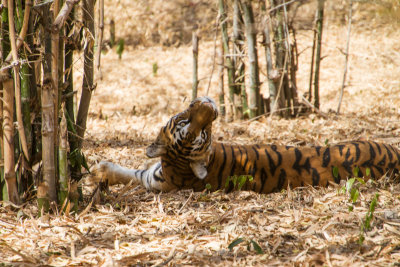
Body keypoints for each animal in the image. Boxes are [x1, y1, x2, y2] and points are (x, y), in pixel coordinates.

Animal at [90, 96, 400, 195]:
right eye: (185, 122)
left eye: (203, 131)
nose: (209, 106)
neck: (176, 164)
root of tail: (394, 157)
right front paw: (99, 169)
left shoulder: (151, 180)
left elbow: (128, 171)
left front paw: (98, 169)